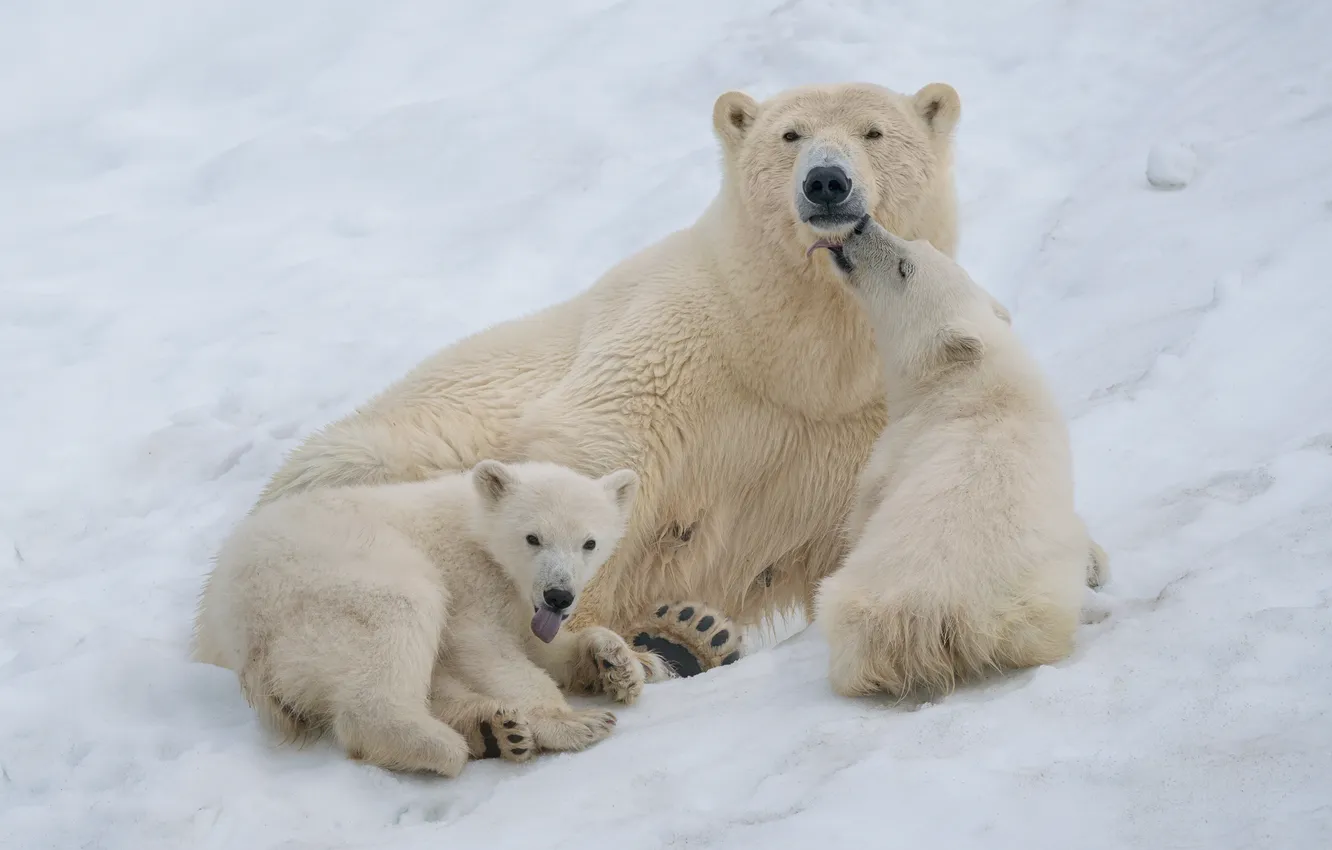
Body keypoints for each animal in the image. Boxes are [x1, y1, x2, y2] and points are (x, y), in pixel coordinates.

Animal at [192, 459, 663, 776]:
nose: (558, 595)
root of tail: (239, 626)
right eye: (533, 537)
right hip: (331, 579)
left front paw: (618, 664)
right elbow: (487, 648)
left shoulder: (523, 604)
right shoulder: (470, 581)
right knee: (398, 614)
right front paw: (574, 723)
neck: (477, 529)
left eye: (589, 542)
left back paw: (493, 729)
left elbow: (539, 644)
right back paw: (440, 745)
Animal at [811, 215, 1105, 699]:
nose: (861, 224)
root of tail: (935, 615)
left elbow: (861, 509)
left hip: (861, 606)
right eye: (919, 243)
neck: (973, 378)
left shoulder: (895, 449)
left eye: (905, 267)